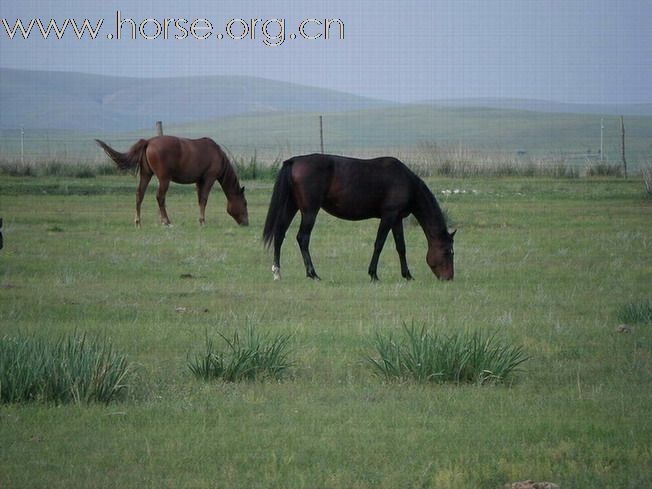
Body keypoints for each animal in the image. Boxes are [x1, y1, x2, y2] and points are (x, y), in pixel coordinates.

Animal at [95, 135, 248, 227]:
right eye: (245, 203)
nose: (246, 223)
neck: (216, 154)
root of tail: (149, 141)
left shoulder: (199, 181)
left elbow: (200, 200)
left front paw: (200, 221)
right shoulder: (209, 178)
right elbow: (204, 199)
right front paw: (203, 222)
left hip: (146, 175)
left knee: (139, 194)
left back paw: (138, 222)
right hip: (164, 179)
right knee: (160, 197)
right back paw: (166, 222)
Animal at [262, 152, 456, 282]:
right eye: (449, 252)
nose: (448, 278)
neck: (406, 182)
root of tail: (295, 160)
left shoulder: (397, 219)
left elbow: (401, 247)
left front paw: (407, 275)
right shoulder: (388, 216)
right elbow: (379, 244)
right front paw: (373, 274)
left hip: (291, 206)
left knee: (279, 234)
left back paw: (277, 272)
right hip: (309, 211)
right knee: (302, 238)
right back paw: (312, 274)